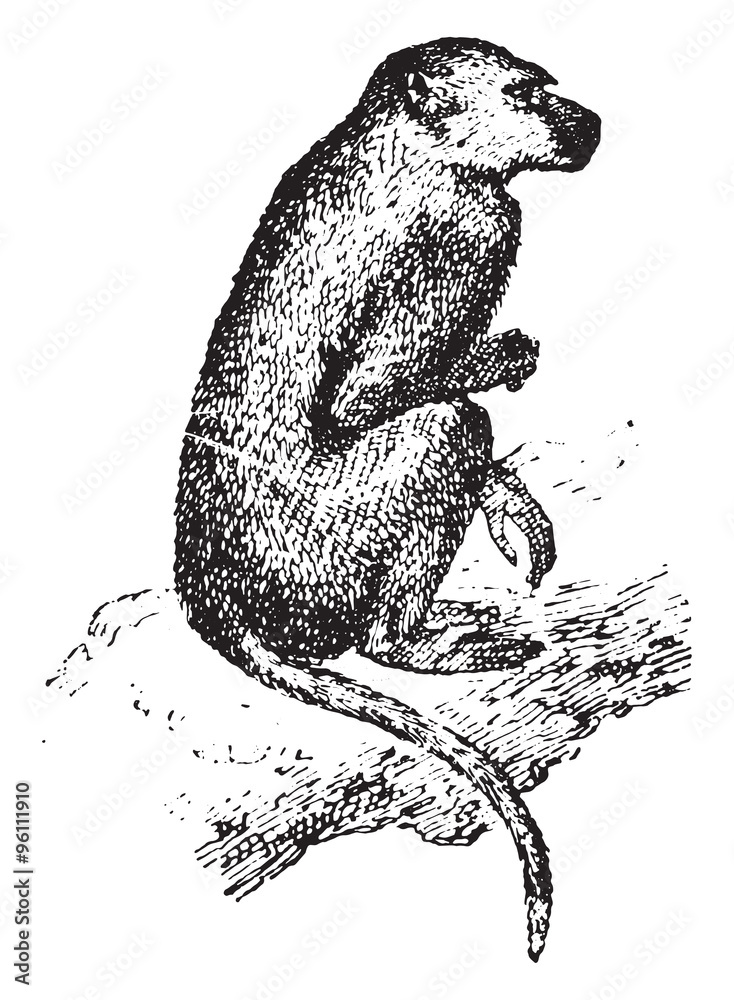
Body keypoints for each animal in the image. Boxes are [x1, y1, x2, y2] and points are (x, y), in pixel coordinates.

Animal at [174, 38, 600, 959]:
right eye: (524, 95)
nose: (589, 122)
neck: (417, 145)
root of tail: (212, 592)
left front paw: (511, 506)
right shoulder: (469, 232)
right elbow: (372, 397)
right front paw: (504, 361)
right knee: (446, 428)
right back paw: (415, 641)